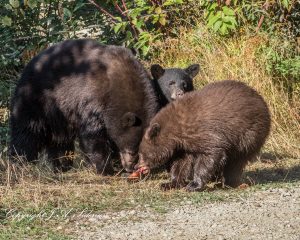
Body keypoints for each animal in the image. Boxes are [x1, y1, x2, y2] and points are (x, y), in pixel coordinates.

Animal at [8, 39, 159, 174]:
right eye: (132, 150)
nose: (130, 167)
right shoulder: (92, 97)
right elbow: (93, 135)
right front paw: (106, 168)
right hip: (36, 101)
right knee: (26, 133)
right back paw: (20, 163)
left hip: (60, 116)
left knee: (59, 140)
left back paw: (62, 165)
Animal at [136, 80, 272, 191]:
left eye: (141, 153)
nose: (137, 166)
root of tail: (263, 103)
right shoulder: (184, 145)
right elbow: (181, 163)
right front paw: (169, 183)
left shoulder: (205, 132)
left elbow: (211, 153)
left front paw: (194, 184)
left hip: (248, 134)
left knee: (236, 160)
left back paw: (227, 182)